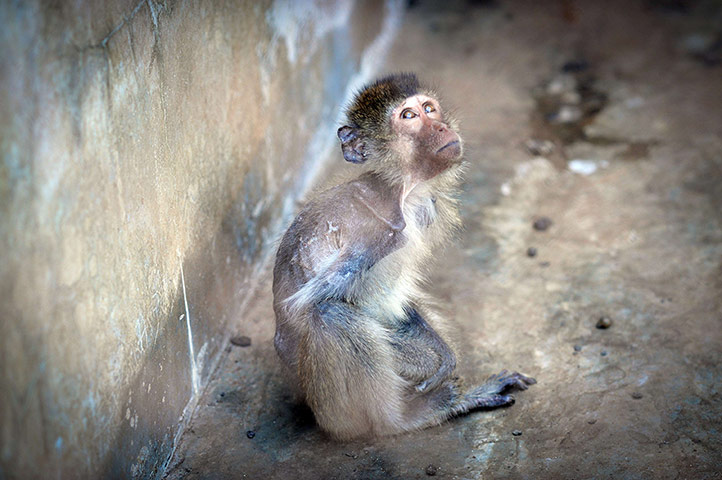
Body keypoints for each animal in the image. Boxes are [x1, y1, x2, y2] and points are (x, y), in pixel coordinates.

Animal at [272, 73, 535, 440]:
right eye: (409, 116)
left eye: (429, 108)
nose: (440, 127)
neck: (403, 192)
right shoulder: (374, 233)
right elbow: (306, 306)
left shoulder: (424, 214)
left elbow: (401, 299)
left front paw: (444, 355)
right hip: (329, 407)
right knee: (331, 314)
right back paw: (403, 419)